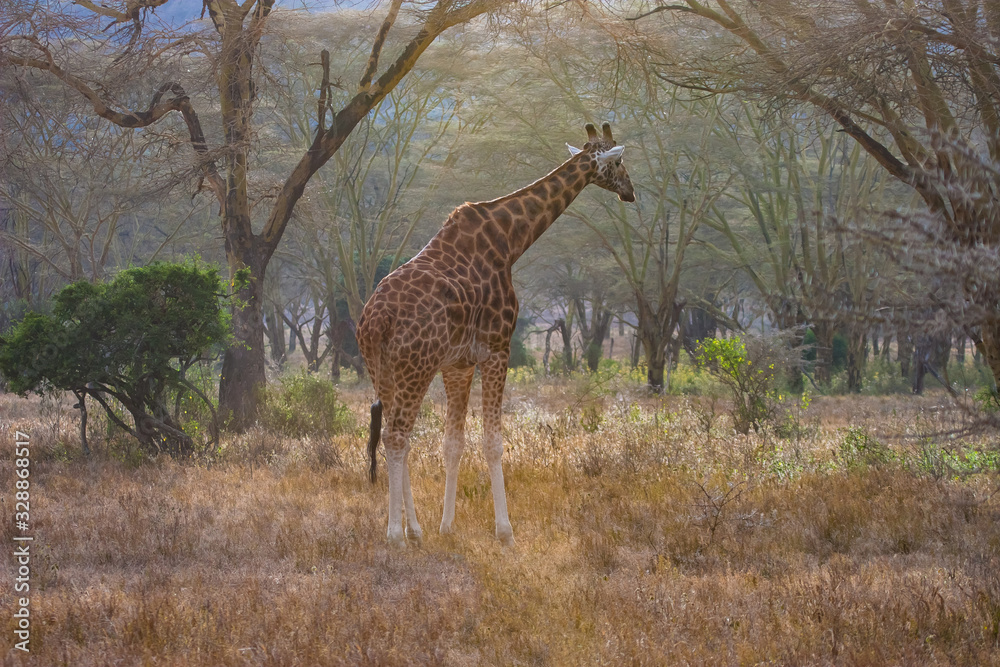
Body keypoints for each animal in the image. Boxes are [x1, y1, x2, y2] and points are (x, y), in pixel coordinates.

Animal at [356, 123, 635, 547]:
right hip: (414, 368)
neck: (510, 240)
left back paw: (415, 530)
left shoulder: (458, 364)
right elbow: (493, 443)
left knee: (396, 433)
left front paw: (447, 526)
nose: (630, 191)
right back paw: (395, 536)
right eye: (618, 162)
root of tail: (375, 320)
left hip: (382, 370)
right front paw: (505, 532)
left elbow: (453, 444)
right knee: (396, 436)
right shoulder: (497, 349)